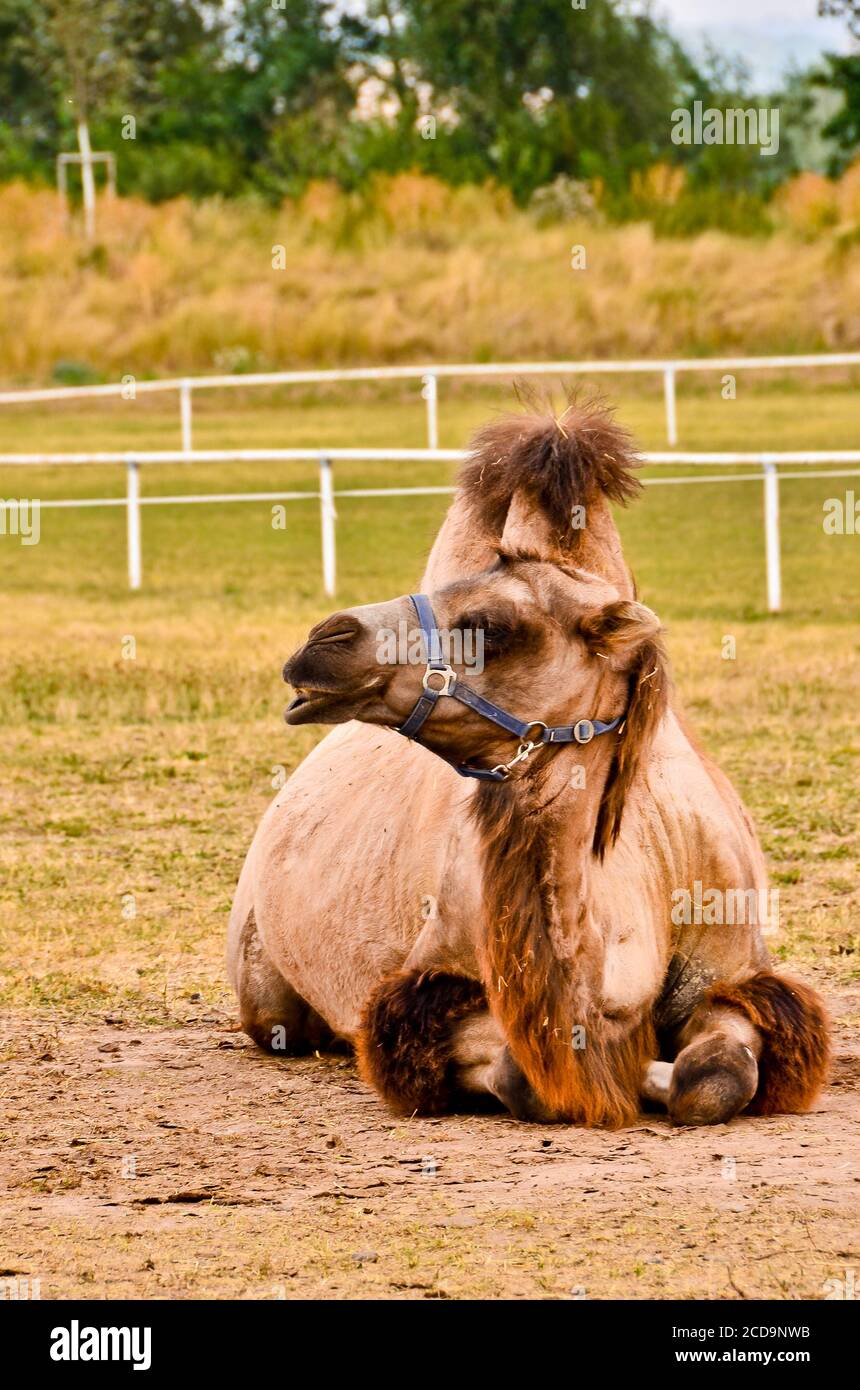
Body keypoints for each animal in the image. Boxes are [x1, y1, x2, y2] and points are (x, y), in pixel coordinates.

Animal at [227, 400, 829, 1126]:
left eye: (490, 625)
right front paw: (627, 1076)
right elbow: (525, 1076)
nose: (321, 642)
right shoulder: (432, 987)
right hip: (263, 981)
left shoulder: (738, 970)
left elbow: (713, 1076)